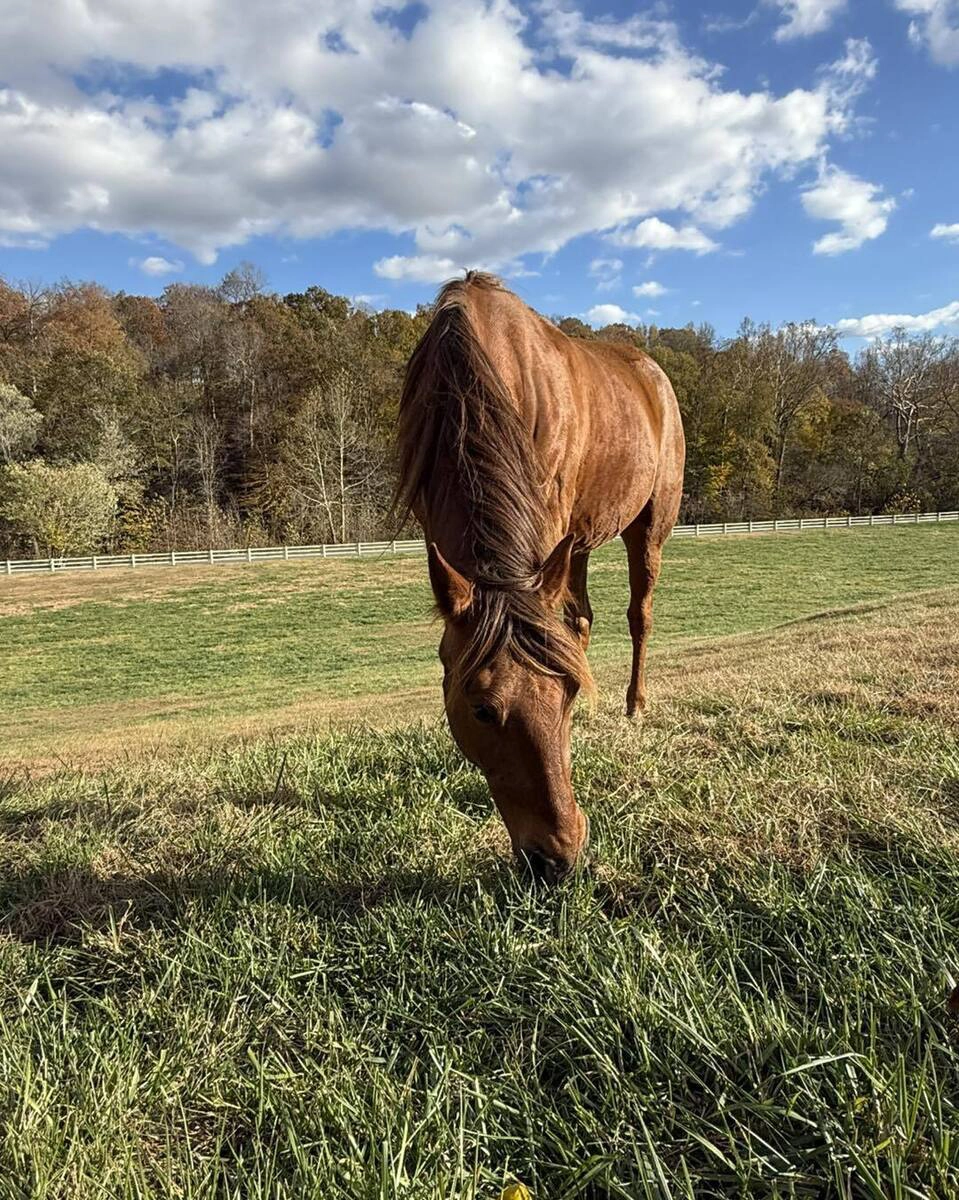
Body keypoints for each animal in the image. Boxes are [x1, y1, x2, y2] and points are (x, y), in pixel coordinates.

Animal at [395, 272, 685, 882]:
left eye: (567, 694)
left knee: (639, 615)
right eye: (482, 709)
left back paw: (634, 704)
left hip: (647, 527)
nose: (559, 858)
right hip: (578, 541)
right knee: (581, 619)